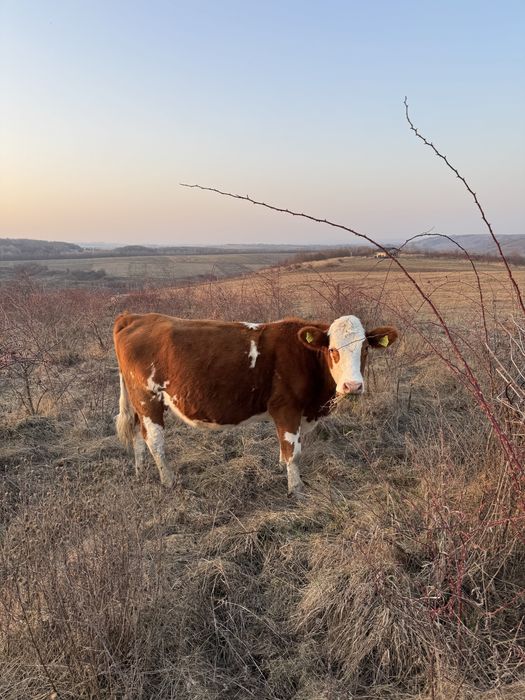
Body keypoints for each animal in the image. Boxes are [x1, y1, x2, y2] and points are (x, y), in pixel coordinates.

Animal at [113, 313, 398, 496]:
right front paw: (296, 488)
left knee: (138, 434)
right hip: (148, 398)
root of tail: (136, 317)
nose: (353, 386)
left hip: (138, 402)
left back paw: (141, 472)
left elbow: (284, 449)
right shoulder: (287, 409)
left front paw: (283, 470)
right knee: (155, 440)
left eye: (365, 349)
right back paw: (169, 481)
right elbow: (293, 451)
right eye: (332, 350)